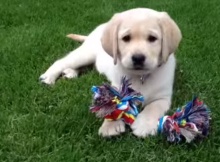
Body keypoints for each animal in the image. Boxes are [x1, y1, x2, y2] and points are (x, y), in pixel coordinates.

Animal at [40, 8, 182, 138]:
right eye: (126, 38)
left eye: (152, 38)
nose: (138, 58)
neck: (140, 76)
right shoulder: (117, 88)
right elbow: (114, 105)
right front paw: (110, 125)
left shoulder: (163, 97)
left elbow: (153, 108)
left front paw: (144, 125)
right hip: (86, 54)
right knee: (62, 61)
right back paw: (49, 77)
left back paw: (70, 72)